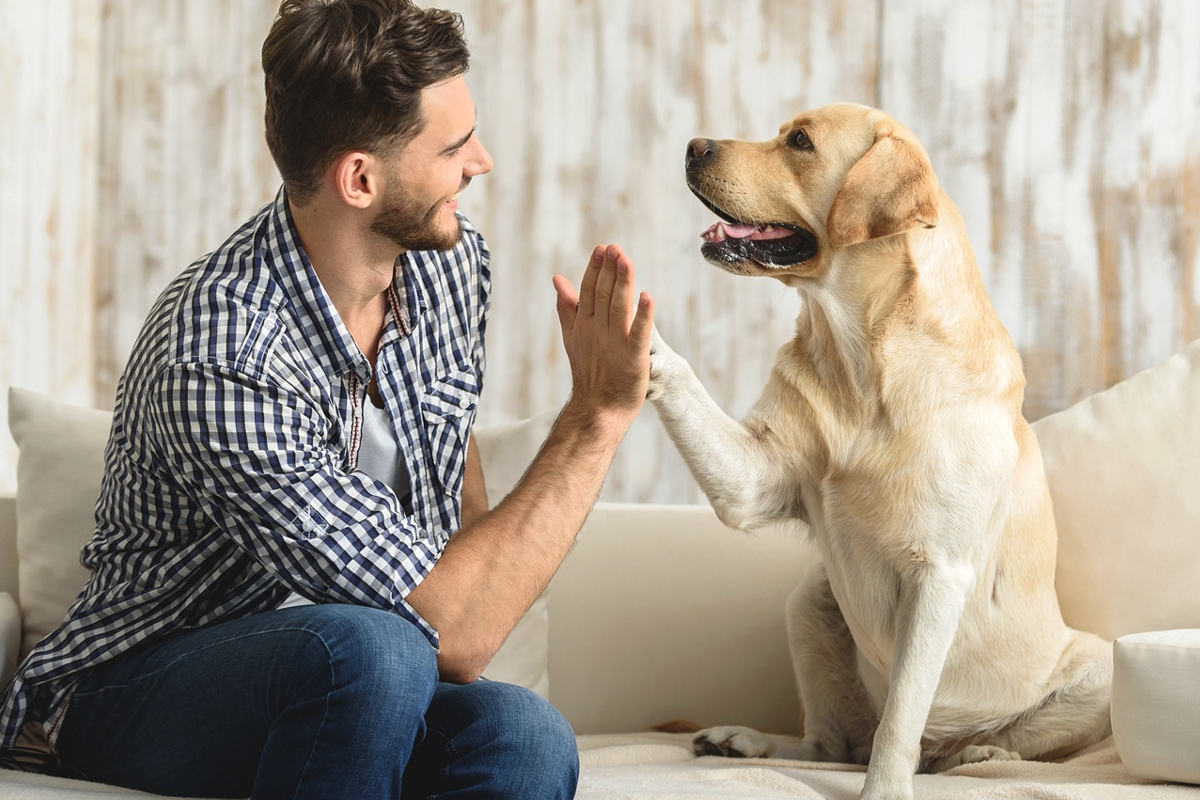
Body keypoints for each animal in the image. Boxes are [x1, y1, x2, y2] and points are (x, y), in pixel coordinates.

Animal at [652, 103, 1108, 796]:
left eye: (800, 142)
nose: (692, 145)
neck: (863, 360)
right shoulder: (753, 480)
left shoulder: (938, 575)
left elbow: (900, 721)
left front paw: (887, 788)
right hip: (810, 601)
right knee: (830, 743)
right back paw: (745, 740)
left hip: (1098, 670)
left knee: (960, 745)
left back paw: (974, 754)